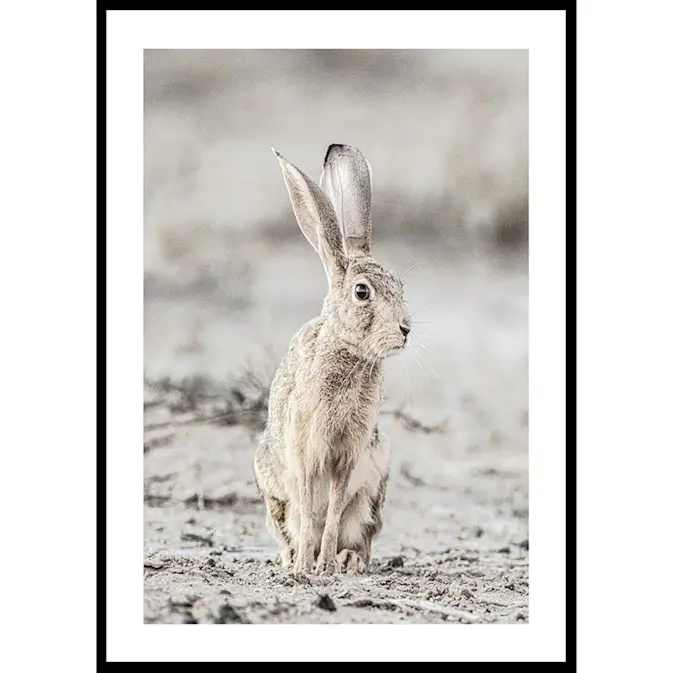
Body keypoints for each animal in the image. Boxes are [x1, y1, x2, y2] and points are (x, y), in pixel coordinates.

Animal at [253, 143, 411, 575]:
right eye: (362, 292)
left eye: (400, 287)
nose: (406, 329)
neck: (348, 354)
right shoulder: (306, 450)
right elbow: (311, 508)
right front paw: (307, 566)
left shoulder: (349, 455)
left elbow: (335, 508)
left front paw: (325, 564)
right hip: (273, 493)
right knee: (291, 523)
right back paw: (292, 557)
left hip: (374, 489)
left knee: (360, 533)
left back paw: (348, 558)